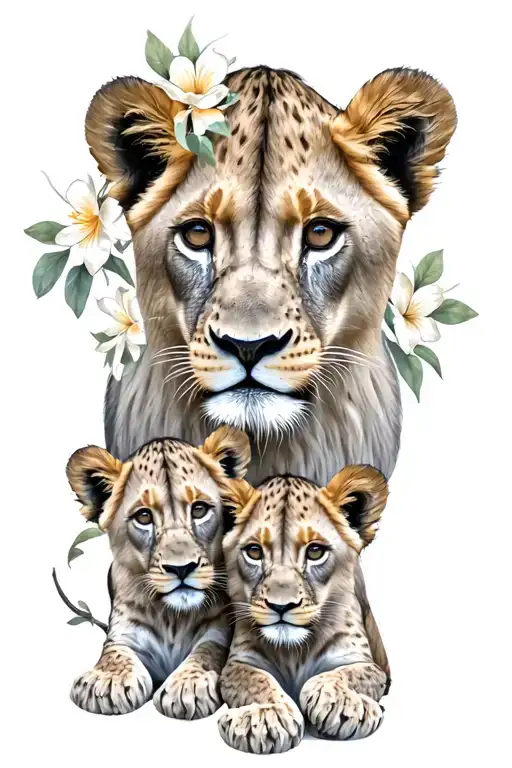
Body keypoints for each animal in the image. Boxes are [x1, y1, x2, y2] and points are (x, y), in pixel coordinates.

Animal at [218, 464, 389, 753]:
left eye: (315, 551)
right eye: (254, 551)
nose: (281, 605)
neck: (294, 653)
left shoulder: (361, 661)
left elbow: (347, 674)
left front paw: (342, 705)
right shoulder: (240, 662)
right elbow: (256, 680)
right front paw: (265, 718)